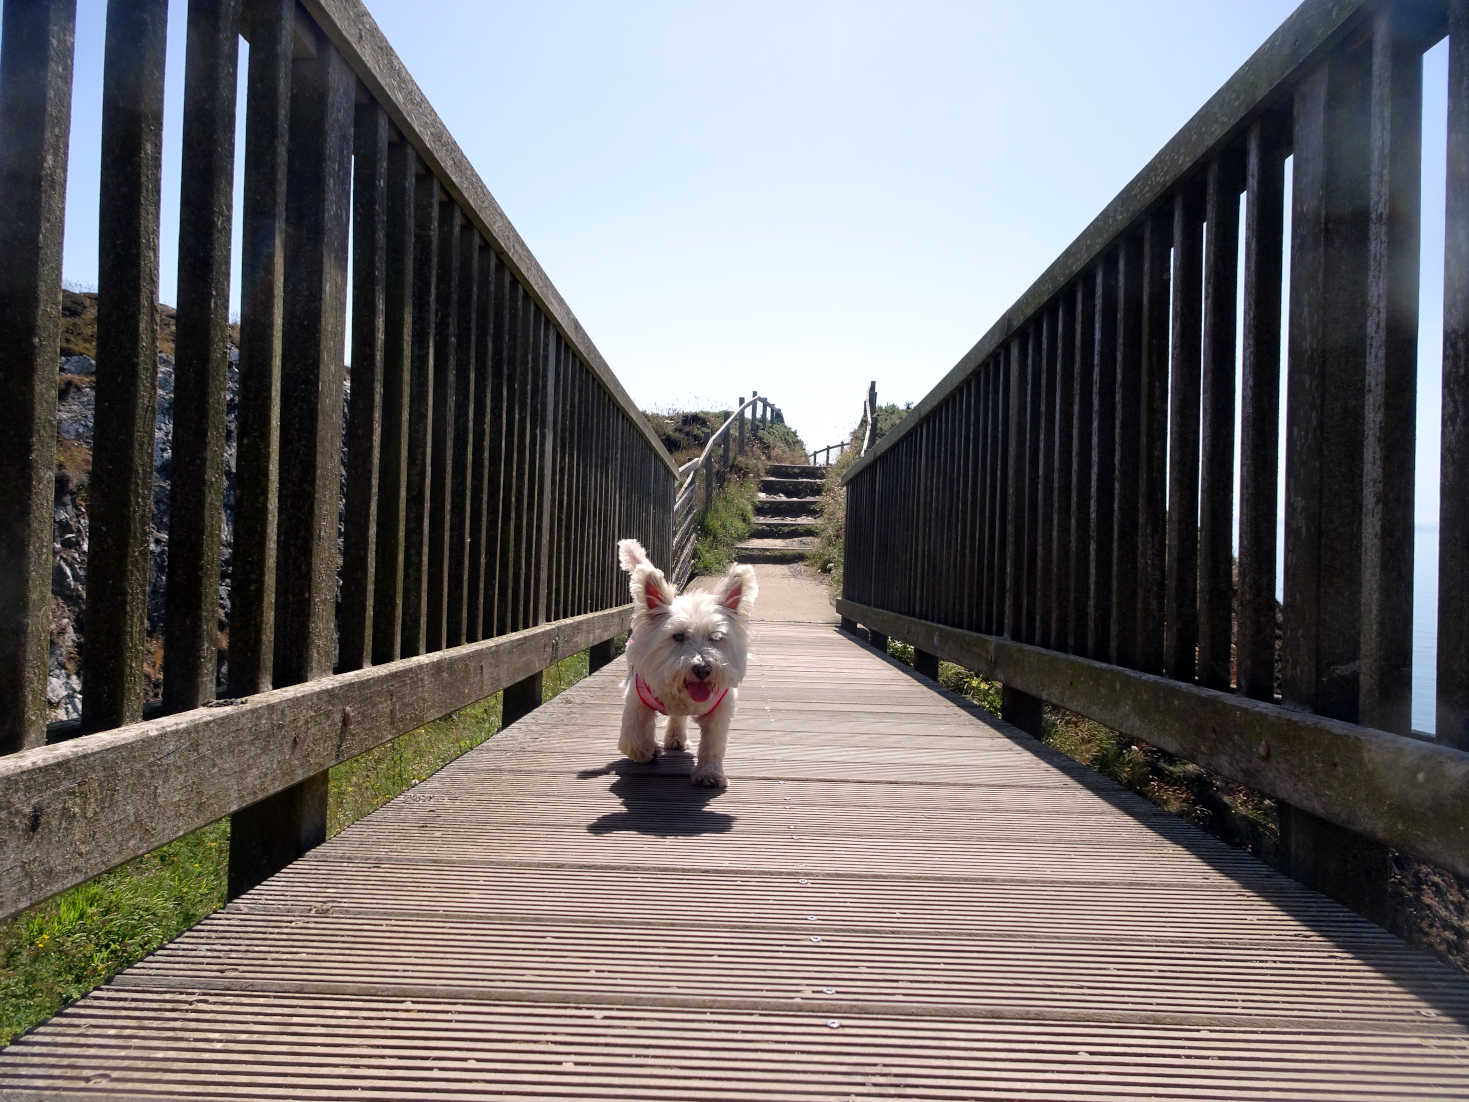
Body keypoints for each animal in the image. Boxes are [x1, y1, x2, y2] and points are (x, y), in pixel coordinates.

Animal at [616, 540, 758, 787]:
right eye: (678, 636)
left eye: (716, 637)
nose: (702, 668)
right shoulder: (636, 697)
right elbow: (632, 737)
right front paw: (646, 751)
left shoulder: (721, 708)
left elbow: (713, 744)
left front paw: (709, 774)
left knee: (677, 718)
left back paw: (676, 739)